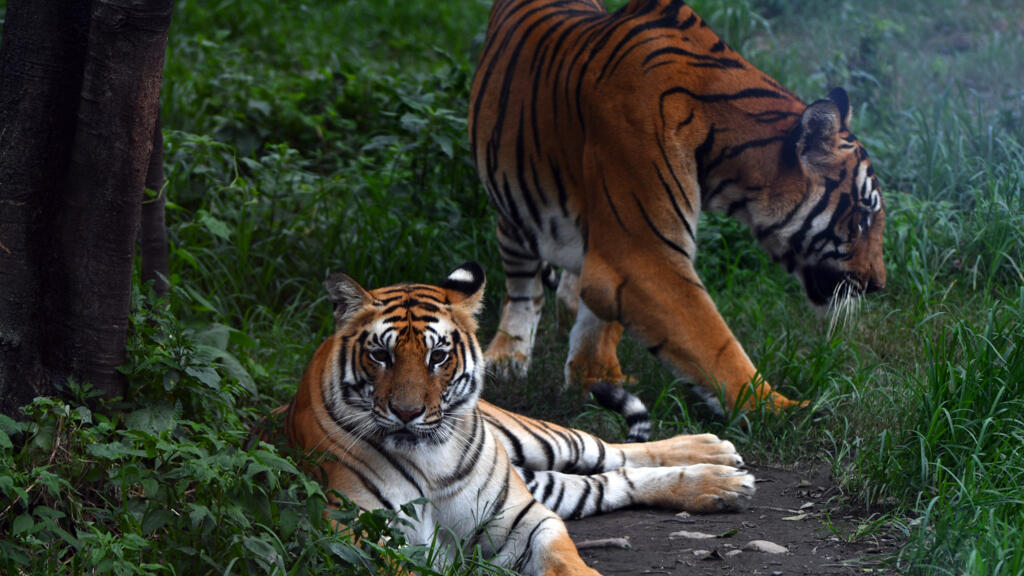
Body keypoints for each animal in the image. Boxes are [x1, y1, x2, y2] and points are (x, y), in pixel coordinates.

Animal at [281, 262, 755, 576]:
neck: (431, 462)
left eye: (438, 357)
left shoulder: (525, 519)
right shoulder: (360, 536)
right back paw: (719, 483)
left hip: (538, 442)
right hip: (541, 480)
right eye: (381, 355)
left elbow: (566, 561)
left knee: (609, 451)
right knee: (608, 482)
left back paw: (715, 459)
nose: (407, 412)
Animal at [468, 0, 887, 420]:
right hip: (514, 208)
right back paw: (508, 355)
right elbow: (714, 342)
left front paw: (596, 376)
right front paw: (784, 409)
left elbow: (602, 319)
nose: (879, 285)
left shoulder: (615, 245)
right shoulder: (642, 257)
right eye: (863, 217)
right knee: (522, 287)